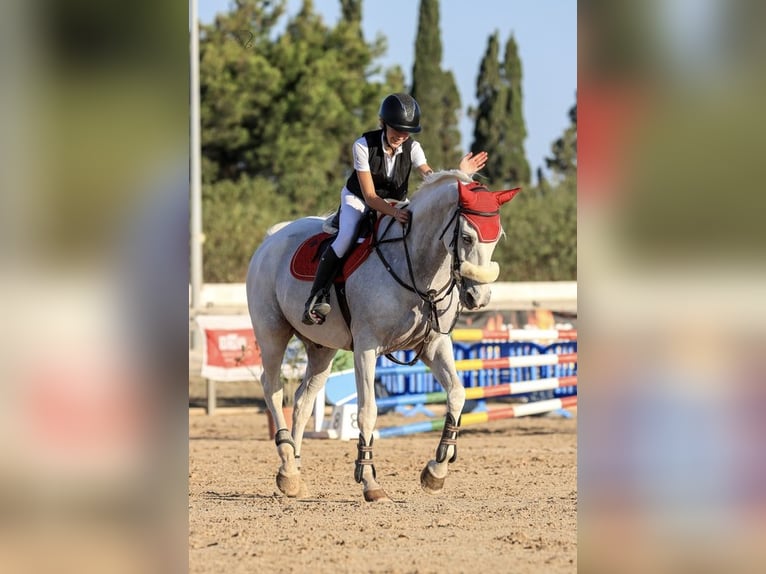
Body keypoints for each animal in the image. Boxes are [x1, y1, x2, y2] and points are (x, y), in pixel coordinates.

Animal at [248, 171, 520, 504]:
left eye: (497, 238)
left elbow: (457, 394)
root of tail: (273, 237)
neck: (417, 265)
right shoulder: (366, 348)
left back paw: (293, 476)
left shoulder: (434, 345)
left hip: (322, 348)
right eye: (467, 237)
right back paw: (287, 466)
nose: (478, 298)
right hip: (272, 333)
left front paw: (435, 472)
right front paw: (369, 482)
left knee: (302, 400)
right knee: (273, 389)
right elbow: (367, 412)